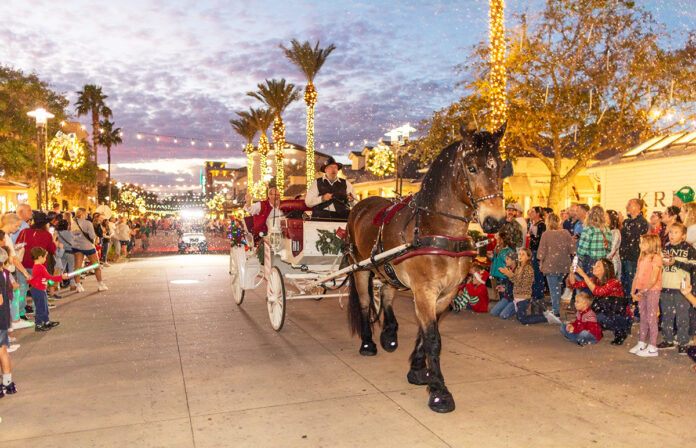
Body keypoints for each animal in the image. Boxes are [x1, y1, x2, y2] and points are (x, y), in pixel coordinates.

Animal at [346, 121, 506, 412]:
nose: (496, 220)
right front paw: (439, 390)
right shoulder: (425, 290)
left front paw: (419, 368)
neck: (438, 229)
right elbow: (433, 337)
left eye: (499, 166)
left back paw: (389, 333)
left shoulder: (447, 292)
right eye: (471, 168)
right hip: (359, 268)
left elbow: (426, 330)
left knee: (387, 293)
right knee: (364, 304)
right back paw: (367, 342)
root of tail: (361, 204)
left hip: (389, 269)